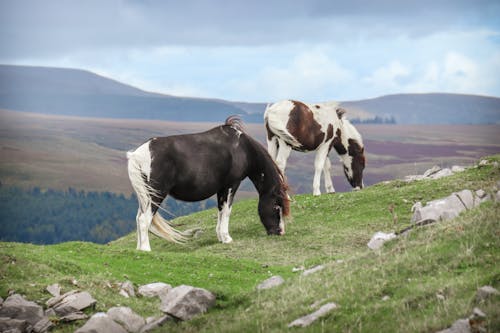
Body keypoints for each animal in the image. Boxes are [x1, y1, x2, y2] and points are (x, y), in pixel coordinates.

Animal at [127, 116, 290, 249]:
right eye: (277, 206)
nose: (280, 232)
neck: (242, 148)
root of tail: (137, 154)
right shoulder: (232, 185)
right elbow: (227, 211)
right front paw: (227, 238)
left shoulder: (221, 188)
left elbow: (221, 210)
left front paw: (221, 237)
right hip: (156, 194)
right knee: (144, 220)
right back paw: (145, 250)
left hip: (145, 196)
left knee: (138, 218)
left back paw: (139, 249)